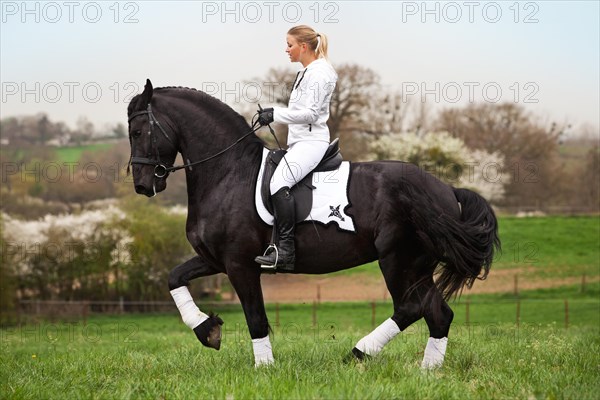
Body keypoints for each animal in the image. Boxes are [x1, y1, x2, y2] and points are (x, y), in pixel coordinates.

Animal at [126, 79, 502, 368]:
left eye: (139, 130)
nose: (142, 186)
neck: (229, 172)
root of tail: (446, 189)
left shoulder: (239, 263)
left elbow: (255, 318)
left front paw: (264, 369)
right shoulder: (214, 259)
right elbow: (174, 277)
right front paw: (207, 330)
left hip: (399, 259)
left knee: (411, 308)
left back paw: (357, 354)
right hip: (418, 265)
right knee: (438, 313)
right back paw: (427, 371)